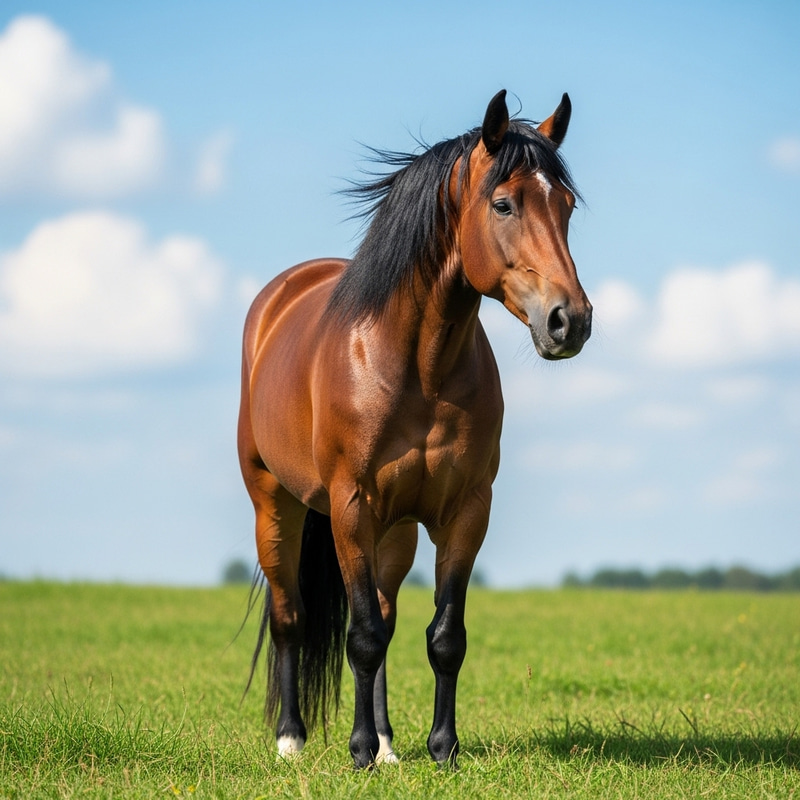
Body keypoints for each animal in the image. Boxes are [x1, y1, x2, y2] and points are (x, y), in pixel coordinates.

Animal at [238, 89, 592, 769]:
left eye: (565, 205)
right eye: (504, 203)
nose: (571, 321)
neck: (416, 368)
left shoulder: (466, 510)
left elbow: (442, 637)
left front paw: (440, 748)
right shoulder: (350, 507)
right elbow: (362, 637)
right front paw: (355, 752)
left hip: (395, 531)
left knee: (385, 612)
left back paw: (387, 744)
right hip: (276, 503)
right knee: (292, 615)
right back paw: (293, 738)